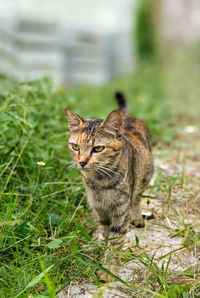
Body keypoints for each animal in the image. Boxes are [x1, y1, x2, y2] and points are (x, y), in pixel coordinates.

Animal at [64, 92, 153, 239]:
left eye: (98, 149)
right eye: (75, 147)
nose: (81, 162)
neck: (99, 182)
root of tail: (127, 116)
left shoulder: (121, 210)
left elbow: (115, 238)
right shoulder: (99, 208)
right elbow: (105, 229)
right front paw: (103, 240)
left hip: (144, 179)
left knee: (137, 199)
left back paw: (137, 218)